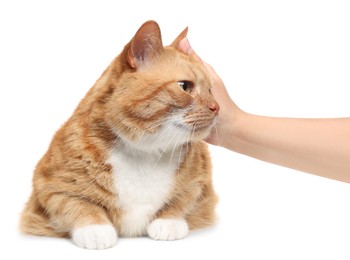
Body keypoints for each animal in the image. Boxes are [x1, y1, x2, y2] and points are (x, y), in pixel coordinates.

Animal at [19, 20, 219, 250]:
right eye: (185, 86)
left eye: (211, 89)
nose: (217, 107)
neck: (146, 154)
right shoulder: (48, 185)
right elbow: (75, 203)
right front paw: (95, 229)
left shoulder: (201, 183)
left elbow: (184, 199)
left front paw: (169, 221)